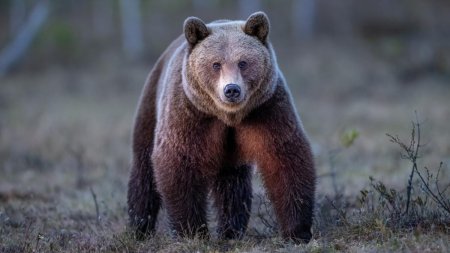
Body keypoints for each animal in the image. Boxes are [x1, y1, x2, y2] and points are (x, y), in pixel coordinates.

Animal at [127, 11, 316, 243]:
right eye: (215, 64)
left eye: (243, 62)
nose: (231, 89)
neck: (228, 116)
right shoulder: (189, 113)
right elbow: (179, 161)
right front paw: (191, 231)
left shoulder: (267, 109)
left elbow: (285, 157)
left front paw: (298, 231)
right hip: (150, 104)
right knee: (143, 168)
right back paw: (139, 227)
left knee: (232, 183)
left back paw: (231, 230)